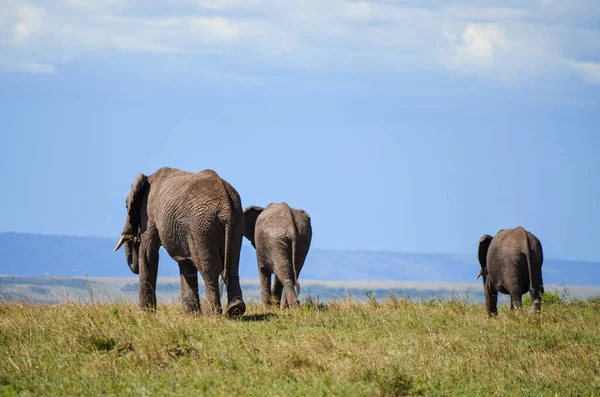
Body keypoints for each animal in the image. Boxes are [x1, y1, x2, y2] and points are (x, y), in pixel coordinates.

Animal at [113, 167, 245, 316]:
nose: (134, 237)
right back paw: (236, 308)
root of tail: (226, 206)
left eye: (126, 205)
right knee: (232, 263)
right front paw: (192, 316)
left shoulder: (149, 212)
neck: (148, 177)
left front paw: (146, 314)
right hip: (236, 222)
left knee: (208, 267)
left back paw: (212, 316)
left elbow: (148, 253)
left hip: (201, 226)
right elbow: (186, 262)